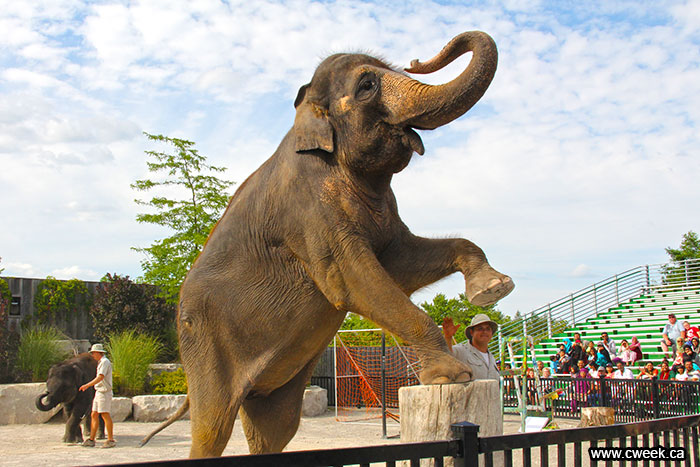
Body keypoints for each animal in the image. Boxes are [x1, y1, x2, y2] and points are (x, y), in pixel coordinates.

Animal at [142, 30, 513, 458]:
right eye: (367, 86)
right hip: (203, 346)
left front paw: (491, 288)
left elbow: (401, 265)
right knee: (212, 428)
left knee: (276, 427)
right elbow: (353, 281)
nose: (419, 59)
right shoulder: (309, 209)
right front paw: (453, 375)